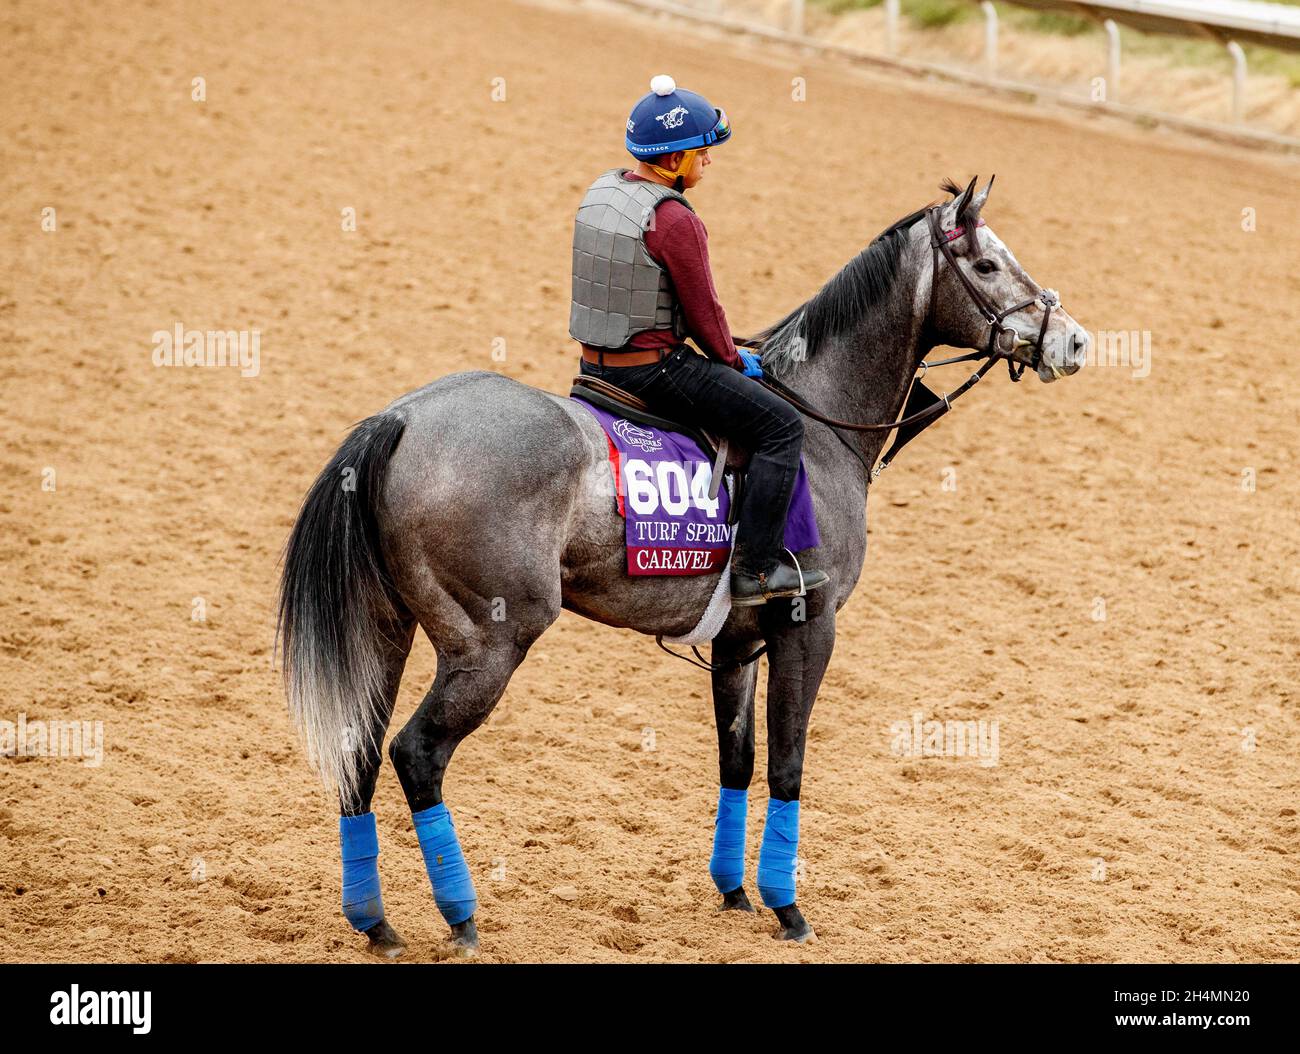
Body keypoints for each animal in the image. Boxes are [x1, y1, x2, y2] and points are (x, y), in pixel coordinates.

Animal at [279, 175, 1092, 956]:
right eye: (986, 265)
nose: (1075, 341)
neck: (821, 425)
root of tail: (403, 418)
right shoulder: (810, 626)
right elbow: (788, 763)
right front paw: (788, 909)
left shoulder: (738, 642)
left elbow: (738, 762)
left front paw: (734, 894)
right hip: (491, 643)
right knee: (417, 755)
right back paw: (460, 916)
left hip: (389, 632)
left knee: (357, 754)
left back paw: (376, 924)